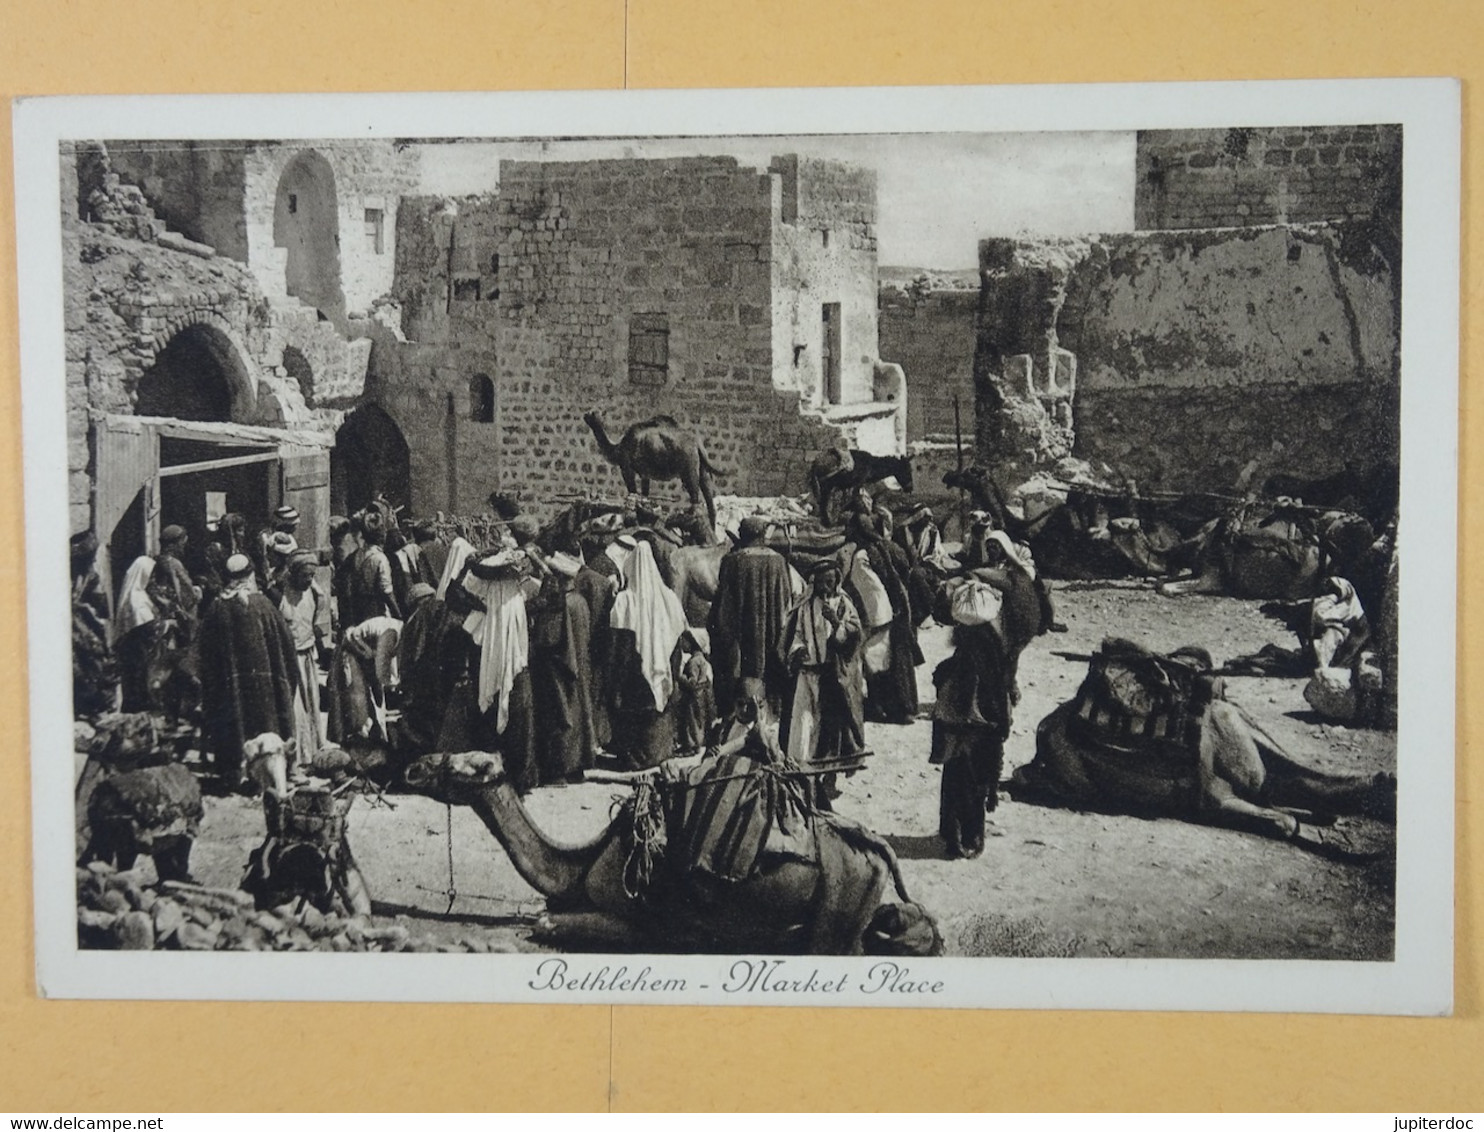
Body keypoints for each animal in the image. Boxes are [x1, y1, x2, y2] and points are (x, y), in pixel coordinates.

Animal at [406, 753, 937, 955]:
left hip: (841, 904)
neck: (587, 860)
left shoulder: (642, 919)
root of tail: (877, 847)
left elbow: (545, 922)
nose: (416, 766)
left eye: (469, 766)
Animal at [581, 412, 721, 537]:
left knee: (695, 498)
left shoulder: (626, 467)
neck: (618, 448)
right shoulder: (645, 474)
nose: (585, 415)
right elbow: (644, 495)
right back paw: (713, 534)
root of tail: (697, 443)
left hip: (688, 466)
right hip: (702, 468)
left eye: (592, 414)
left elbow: (632, 492)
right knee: (709, 499)